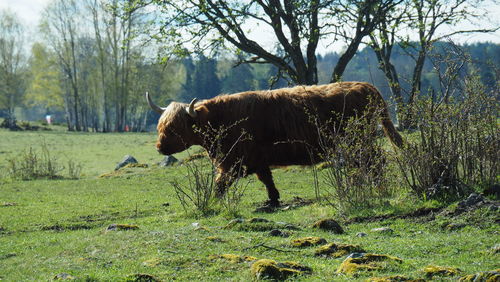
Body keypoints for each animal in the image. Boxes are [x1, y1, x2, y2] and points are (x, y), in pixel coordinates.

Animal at [146, 81, 402, 207]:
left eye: (175, 128)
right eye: (160, 127)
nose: (159, 148)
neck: (220, 119)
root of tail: (364, 86)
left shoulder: (234, 160)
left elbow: (220, 183)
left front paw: (210, 200)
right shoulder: (256, 158)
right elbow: (266, 178)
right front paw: (273, 198)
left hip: (358, 141)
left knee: (374, 161)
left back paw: (377, 188)